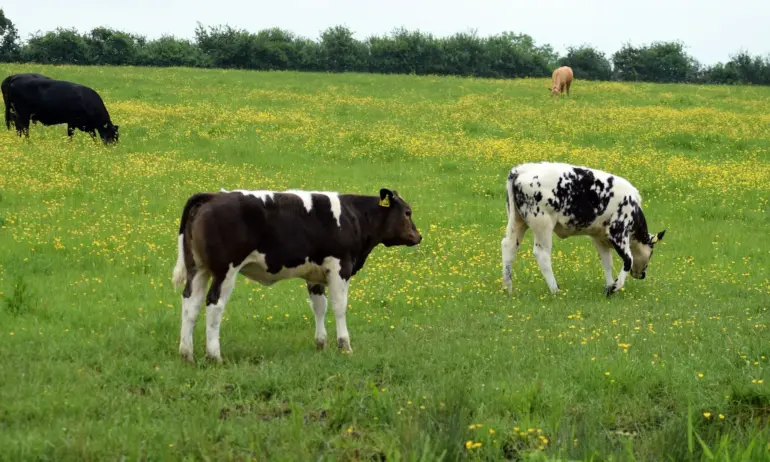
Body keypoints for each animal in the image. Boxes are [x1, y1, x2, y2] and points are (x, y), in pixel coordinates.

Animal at [172, 186, 424, 362]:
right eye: (407, 212)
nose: (418, 236)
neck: (353, 216)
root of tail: (212, 196)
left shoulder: (315, 274)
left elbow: (319, 307)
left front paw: (321, 344)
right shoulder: (340, 266)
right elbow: (339, 307)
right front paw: (344, 346)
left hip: (198, 269)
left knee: (191, 304)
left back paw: (186, 354)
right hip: (225, 270)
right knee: (214, 305)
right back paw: (214, 355)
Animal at [500, 162, 664, 296]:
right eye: (651, 252)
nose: (642, 275)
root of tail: (521, 170)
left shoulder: (599, 238)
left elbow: (607, 262)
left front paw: (609, 286)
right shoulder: (618, 231)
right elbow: (628, 259)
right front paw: (615, 287)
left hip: (518, 221)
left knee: (509, 247)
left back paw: (508, 288)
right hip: (543, 223)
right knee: (542, 254)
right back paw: (555, 290)